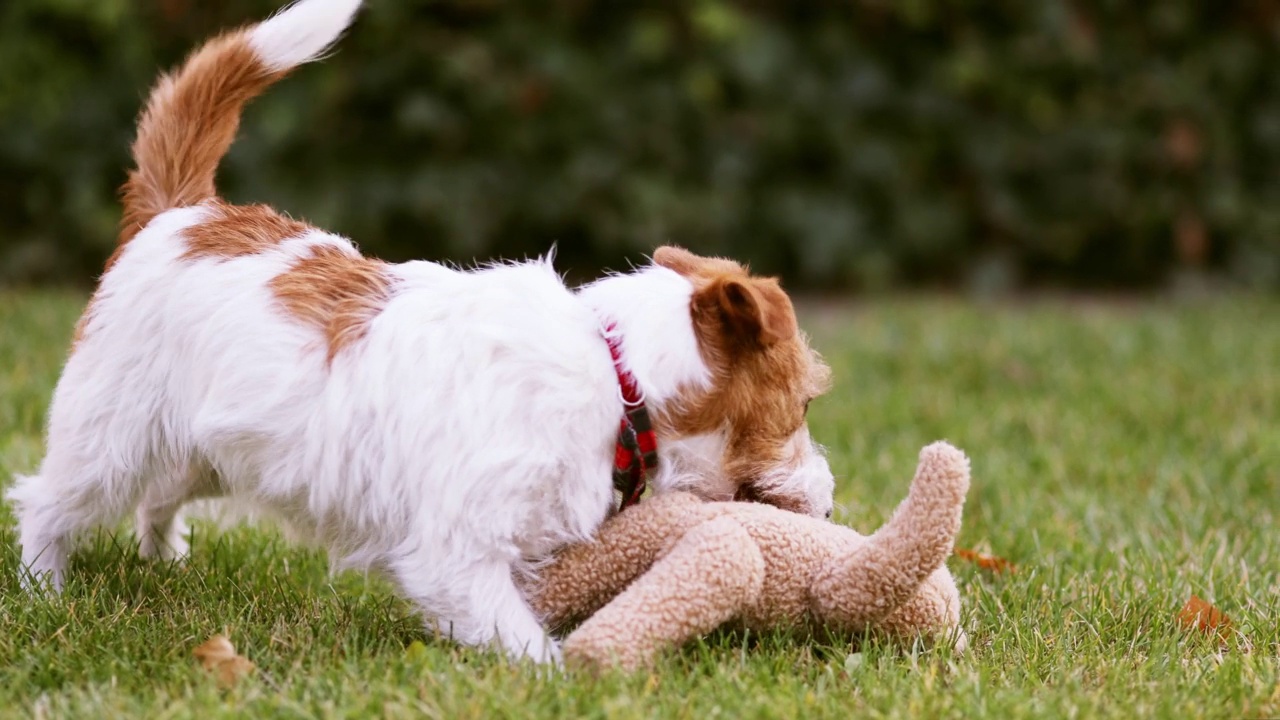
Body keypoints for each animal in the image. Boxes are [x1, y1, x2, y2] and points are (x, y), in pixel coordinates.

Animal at [7, 0, 829, 661]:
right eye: (806, 403)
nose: (832, 504)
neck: (616, 369)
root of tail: (184, 212)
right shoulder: (456, 551)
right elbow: (525, 639)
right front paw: (565, 679)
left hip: (212, 442)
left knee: (158, 496)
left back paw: (165, 560)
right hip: (111, 435)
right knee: (48, 500)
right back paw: (45, 588)